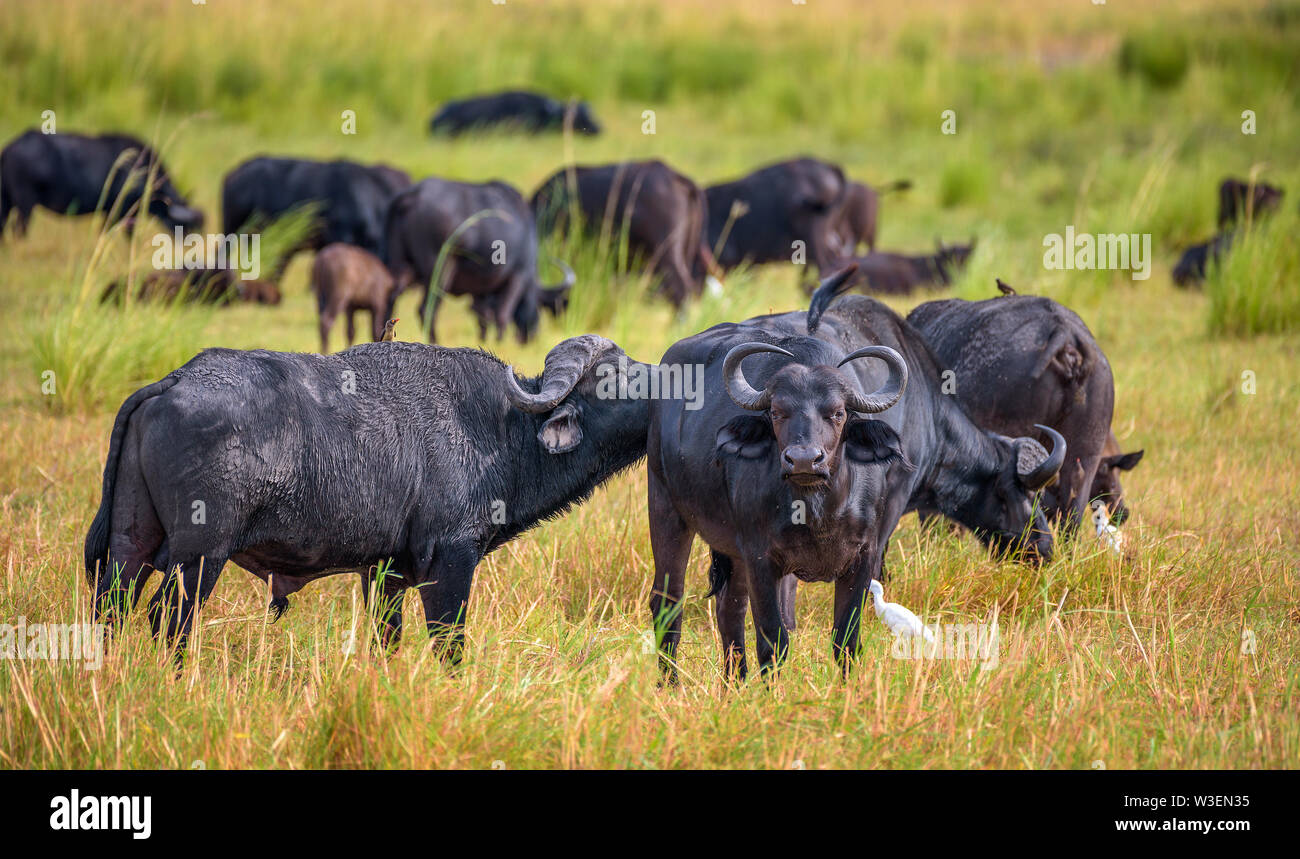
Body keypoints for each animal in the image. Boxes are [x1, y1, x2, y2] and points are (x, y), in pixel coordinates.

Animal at [0, 130, 202, 238]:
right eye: (186, 227)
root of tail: (9, 148)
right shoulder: (120, 212)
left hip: (7, 202)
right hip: (25, 205)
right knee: (19, 231)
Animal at [85, 334, 650, 659]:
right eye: (614, 375)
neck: (499, 428)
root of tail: (176, 380)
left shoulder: (385, 574)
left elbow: (388, 642)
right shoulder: (452, 560)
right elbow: (449, 645)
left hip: (132, 547)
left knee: (112, 606)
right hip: (200, 557)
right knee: (167, 620)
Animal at [385, 176, 574, 343]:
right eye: (539, 305)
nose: (531, 336)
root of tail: (413, 195)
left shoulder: (481, 288)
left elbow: (483, 316)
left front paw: (483, 340)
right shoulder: (518, 276)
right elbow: (501, 314)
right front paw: (499, 341)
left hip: (399, 266)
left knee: (389, 298)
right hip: (440, 271)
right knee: (427, 309)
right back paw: (434, 341)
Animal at [647, 269, 1066, 680]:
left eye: (838, 412)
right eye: (776, 412)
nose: (1044, 546)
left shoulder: (858, 554)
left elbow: (844, 639)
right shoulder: (768, 556)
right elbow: (775, 638)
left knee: (728, 607)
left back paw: (734, 682)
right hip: (666, 511)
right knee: (668, 603)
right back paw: (670, 683)